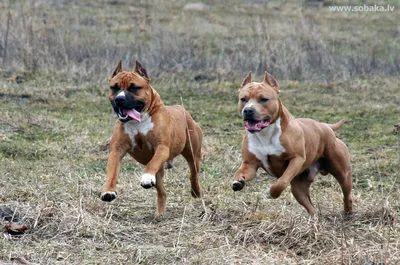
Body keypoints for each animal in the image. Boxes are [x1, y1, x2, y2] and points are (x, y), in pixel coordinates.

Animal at [101, 59, 203, 214]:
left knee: (193, 174)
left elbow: (152, 163)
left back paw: (196, 192)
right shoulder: (116, 151)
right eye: (114, 87)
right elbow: (112, 172)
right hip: (161, 173)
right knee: (162, 192)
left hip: (192, 153)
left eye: (134, 88)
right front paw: (108, 191)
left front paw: (147, 176)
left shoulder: (162, 148)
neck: (138, 122)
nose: (119, 99)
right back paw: (159, 213)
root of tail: (180, 108)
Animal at [231, 71, 354, 214]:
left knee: (347, 195)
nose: (248, 110)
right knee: (310, 207)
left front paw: (270, 193)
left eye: (263, 99)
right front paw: (238, 182)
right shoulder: (249, 164)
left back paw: (348, 213)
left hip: (343, 174)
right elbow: (240, 173)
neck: (265, 133)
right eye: (243, 99)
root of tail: (325, 126)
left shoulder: (296, 159)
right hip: (299, 188)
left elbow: (282, 182)